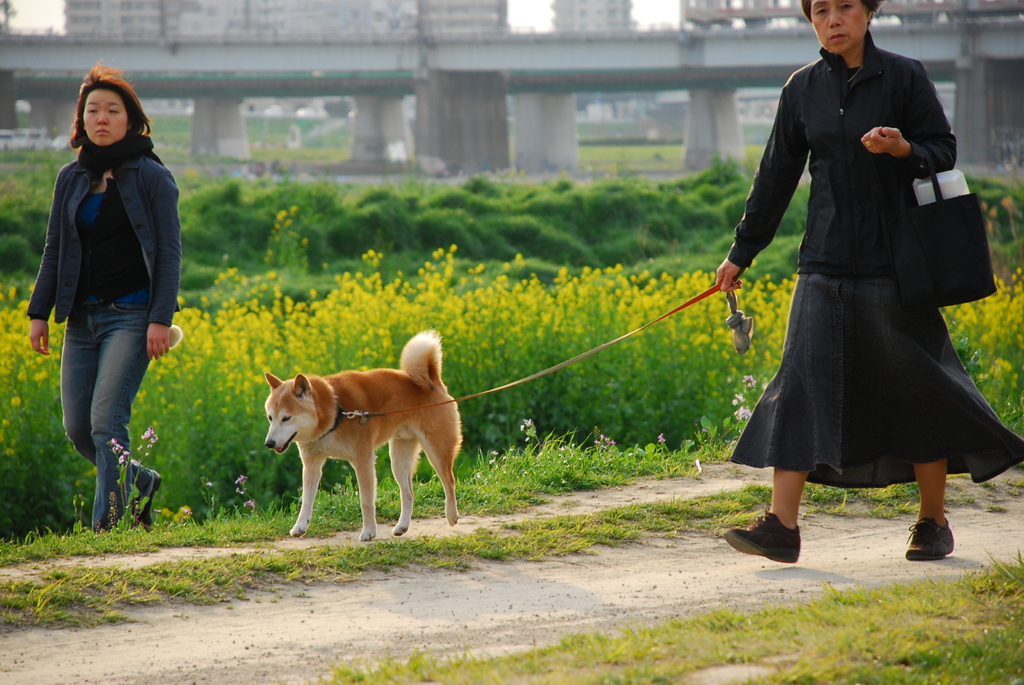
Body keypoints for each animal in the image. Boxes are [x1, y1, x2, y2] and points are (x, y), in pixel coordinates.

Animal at [262, 331, 462, 540]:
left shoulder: (363, 460)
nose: (269, 443)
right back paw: (402, 526)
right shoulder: (312, 465)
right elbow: (306, 501)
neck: (336, 412)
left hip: (437, 450)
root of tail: (432, 381)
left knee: (449, 481)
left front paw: (368, 532)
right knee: (408, 493)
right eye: (270, 417)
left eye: (286, 418)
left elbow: (366, 501)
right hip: (399, 459)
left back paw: (451, 516)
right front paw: (300, 526)